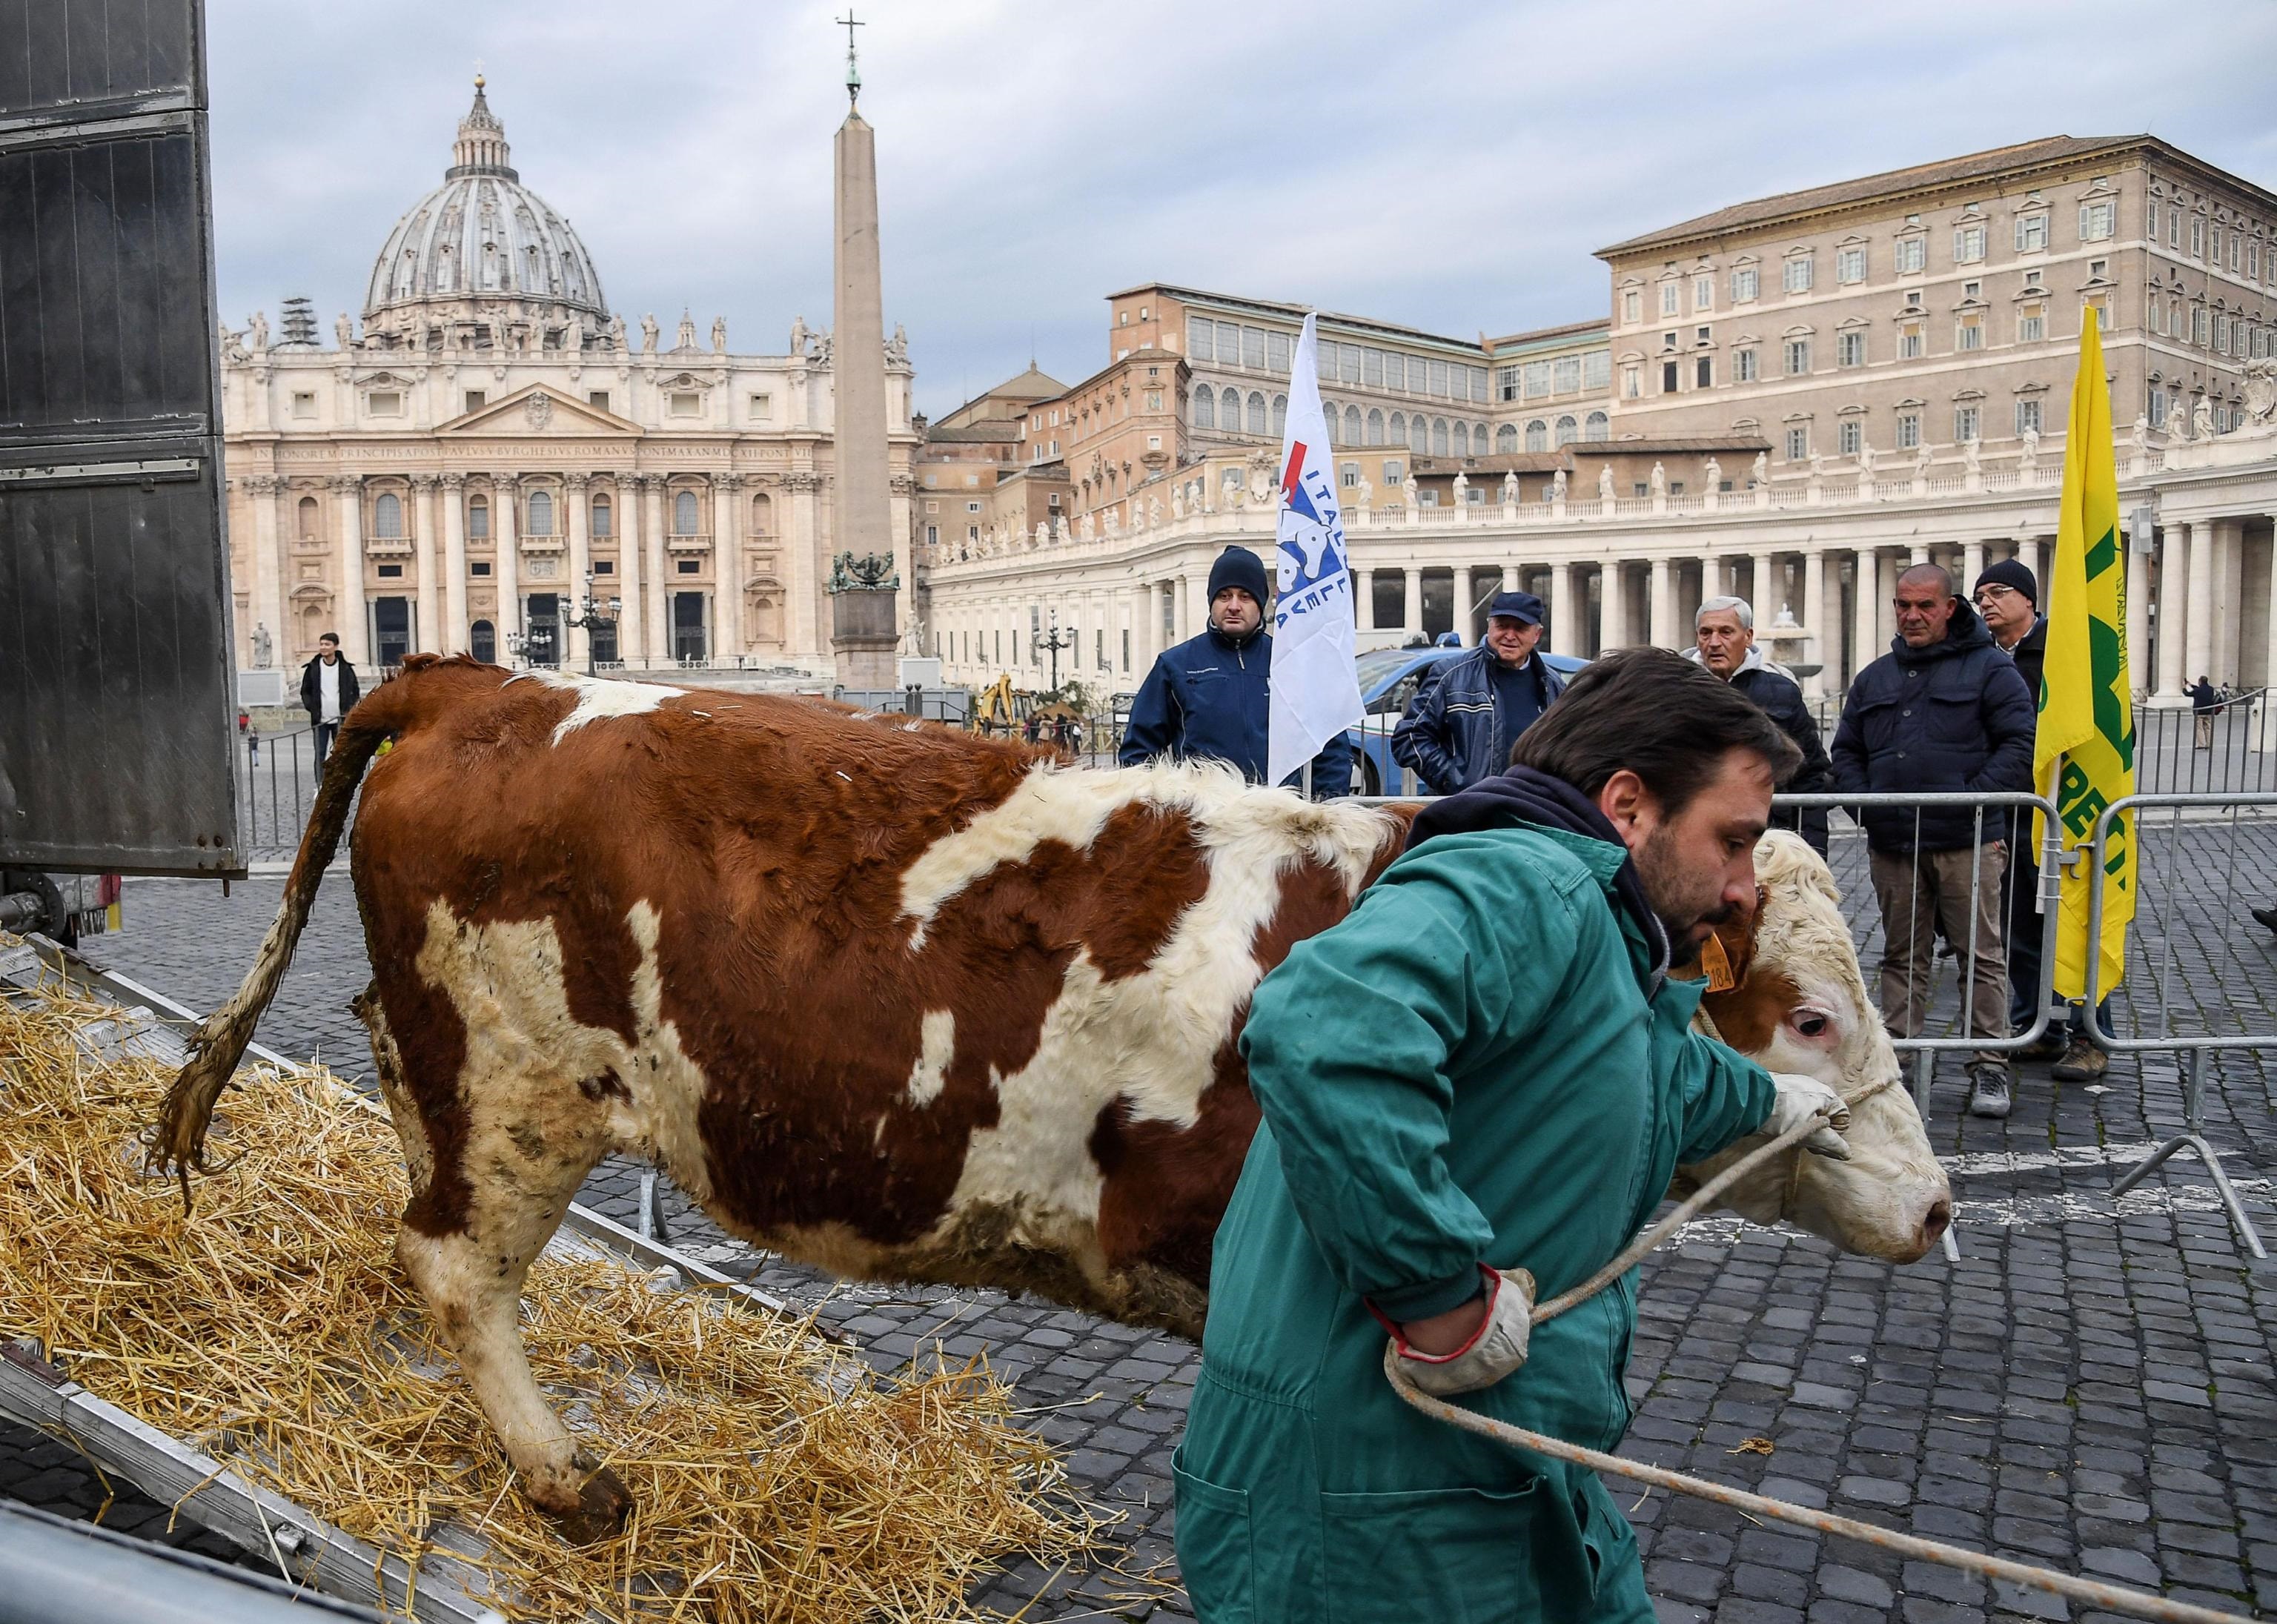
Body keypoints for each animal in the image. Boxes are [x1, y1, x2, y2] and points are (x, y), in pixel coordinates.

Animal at [156, 656, 1940, 1531]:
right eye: (1811, 1017)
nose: (1931, 1206)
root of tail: (478, 679)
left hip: (444, 1067)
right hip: (517, 1081)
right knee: (456, 1266)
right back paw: (564, 1478)